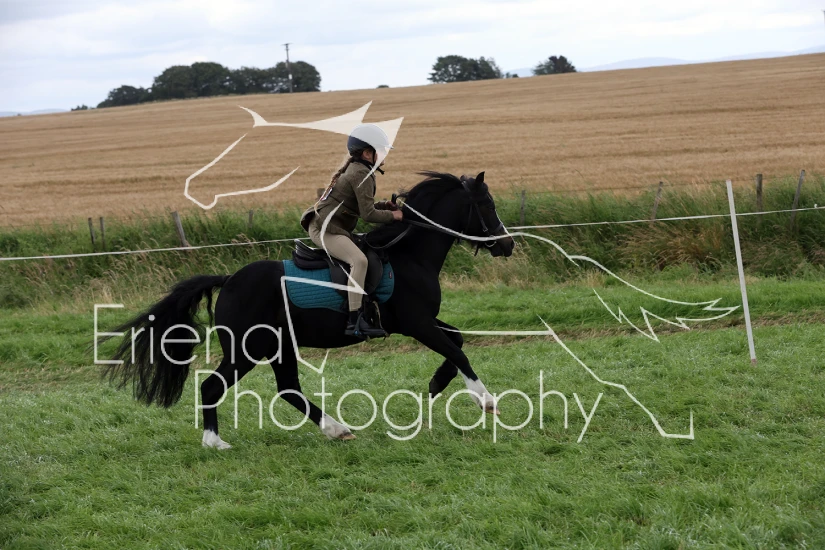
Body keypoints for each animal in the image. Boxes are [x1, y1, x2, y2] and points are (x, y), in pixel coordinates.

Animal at [104, 171, 515, 448]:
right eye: (487, 205)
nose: (508, 245)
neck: (410, 254)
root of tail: (230, 279)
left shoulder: (420, 321)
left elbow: (456, 340)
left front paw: (435, 384)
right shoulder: (417, 323)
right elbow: (457, 351)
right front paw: (485, 400)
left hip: (279, 346)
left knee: (288, 389)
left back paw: (336, 429)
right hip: (247, 349)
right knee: (213, 385)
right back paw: (215, 442)